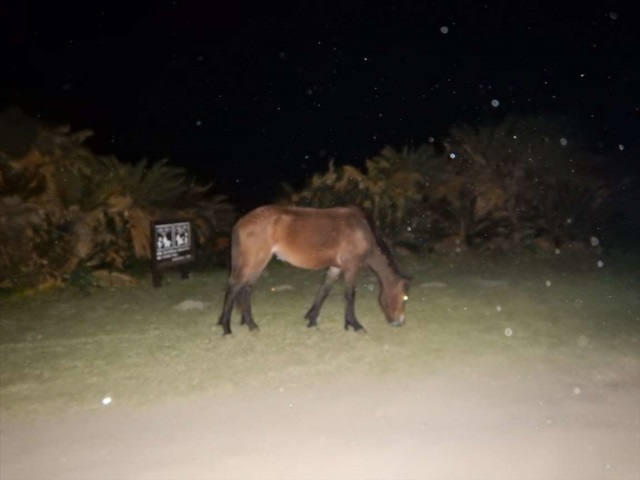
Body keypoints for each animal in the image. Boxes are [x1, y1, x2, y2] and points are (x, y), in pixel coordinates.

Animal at [217, 205, 410, 335]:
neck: (362, 230)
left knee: (244, 288)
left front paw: (312, 319)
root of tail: (241, 222)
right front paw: (355, 325)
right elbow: (350, 295)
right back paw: (228, 328)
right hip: (256, 261)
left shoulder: (335, 268)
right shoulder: (351, 267)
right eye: (404, 298)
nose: (400, 322)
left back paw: (248, 324)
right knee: (236, 288)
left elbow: (324, 291)